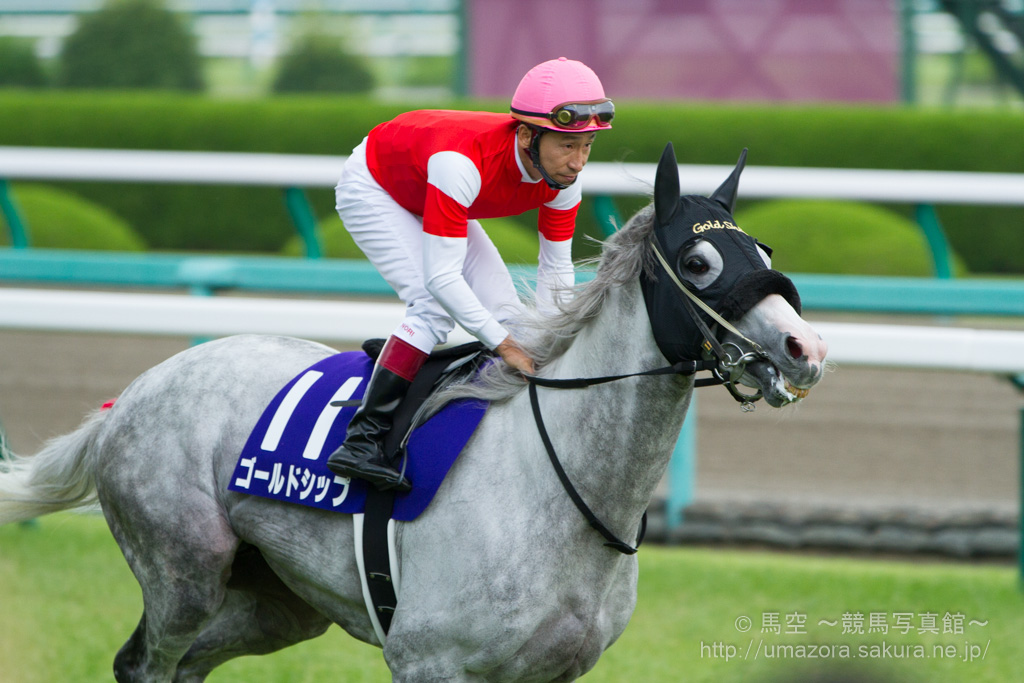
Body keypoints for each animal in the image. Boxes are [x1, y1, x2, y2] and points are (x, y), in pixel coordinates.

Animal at [0, 144, 827, 682]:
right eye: (699, 262)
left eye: (763, 250)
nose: (806, 346)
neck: (560, 485)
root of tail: (131, 395)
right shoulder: (430, 661)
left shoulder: (552, 671)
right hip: (183, 571)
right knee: (146, 663)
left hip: (276, 603)